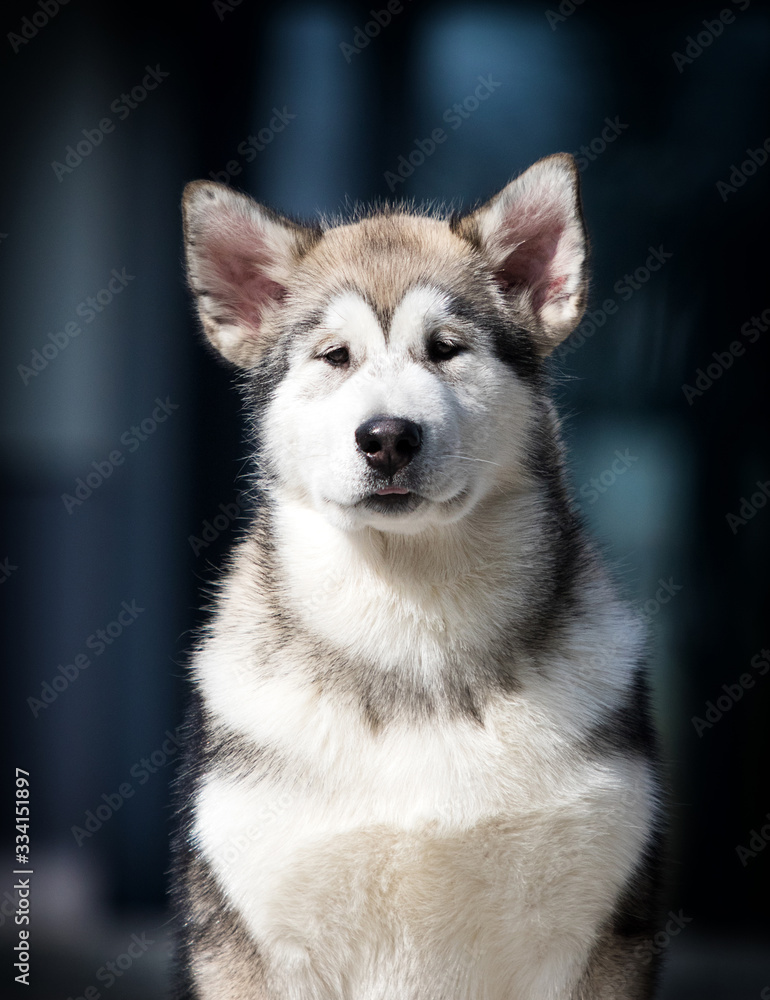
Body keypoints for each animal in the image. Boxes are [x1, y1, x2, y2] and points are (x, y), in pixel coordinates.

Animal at [171, 152, 664, 996]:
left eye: (446, 348)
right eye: (335, 357)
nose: (388, 438)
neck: (412, 634)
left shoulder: (593, 932)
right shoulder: (254, 940)